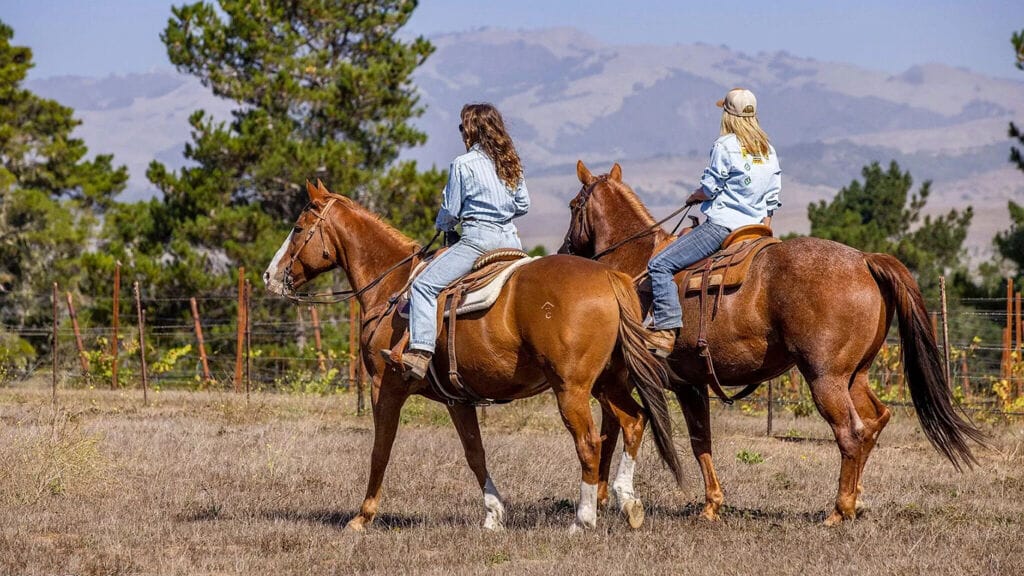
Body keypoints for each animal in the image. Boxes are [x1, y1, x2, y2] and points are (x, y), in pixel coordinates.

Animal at [263, 180, 684, 532]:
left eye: (298, 228)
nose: (270, 275)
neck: (392, 288)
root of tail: (610, 278)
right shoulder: (458, 399)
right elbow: (474, 452)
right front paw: (494, 515)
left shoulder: (386, 387)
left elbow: (380, 451)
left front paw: (362, 517)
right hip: (608, 382)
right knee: (633, 422)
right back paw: (629, 504)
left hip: (572, 389)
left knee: (590, 442)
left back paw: (583, 521)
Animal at [559, 161, 985, 525]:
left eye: (574, 205)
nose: (564, 252)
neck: (634, 267)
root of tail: (864, 259)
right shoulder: (683, 383)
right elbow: (691, 439)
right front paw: (708, 504)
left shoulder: (642, 381)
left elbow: (641, 434)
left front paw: (605, 499)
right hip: (855, 376)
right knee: (875, 420)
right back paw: (858, 500)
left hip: (825, 379)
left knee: (851, 432)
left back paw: (839, 510)